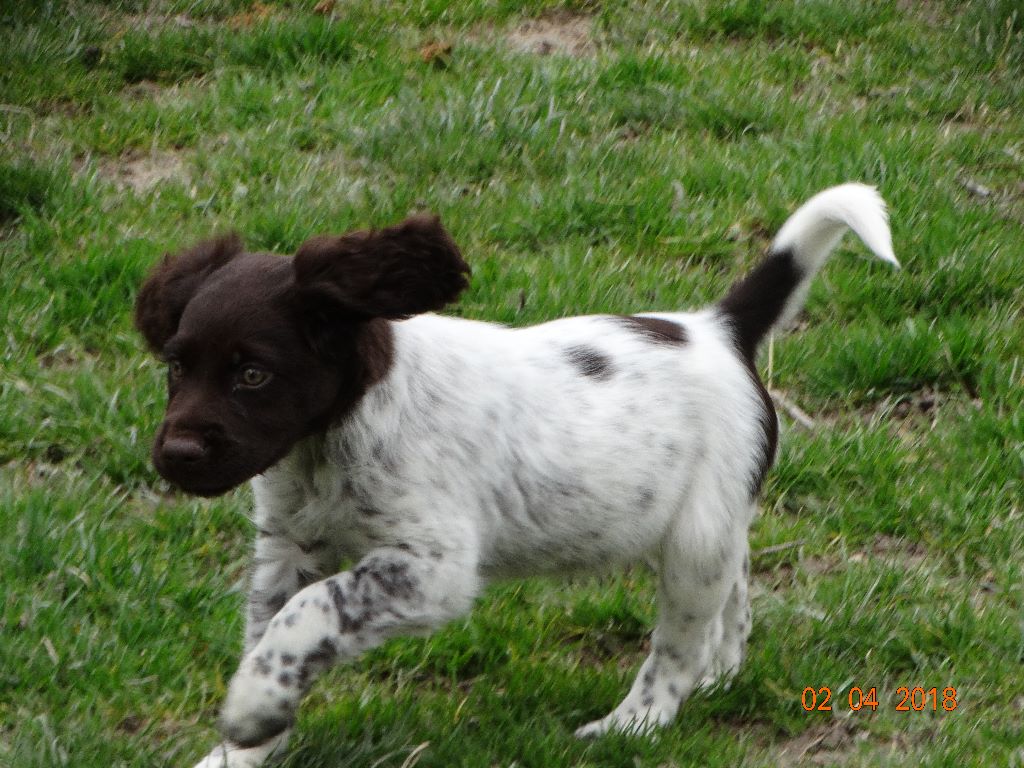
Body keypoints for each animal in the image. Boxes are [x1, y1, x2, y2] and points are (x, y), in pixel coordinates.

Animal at [134, 183, 897, 765]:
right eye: (176, 366)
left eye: (253, 375)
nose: (177, 454)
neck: (327, 444)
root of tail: (720, 328)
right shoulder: (287, 547)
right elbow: (270, 635)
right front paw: (245, 742)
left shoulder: (433, 566)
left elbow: (310, 613)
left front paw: (250, 710)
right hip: (702, 525)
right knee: (734, 593)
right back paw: (722, 675)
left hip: (694, 542)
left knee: (675, 647)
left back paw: (633, 723)